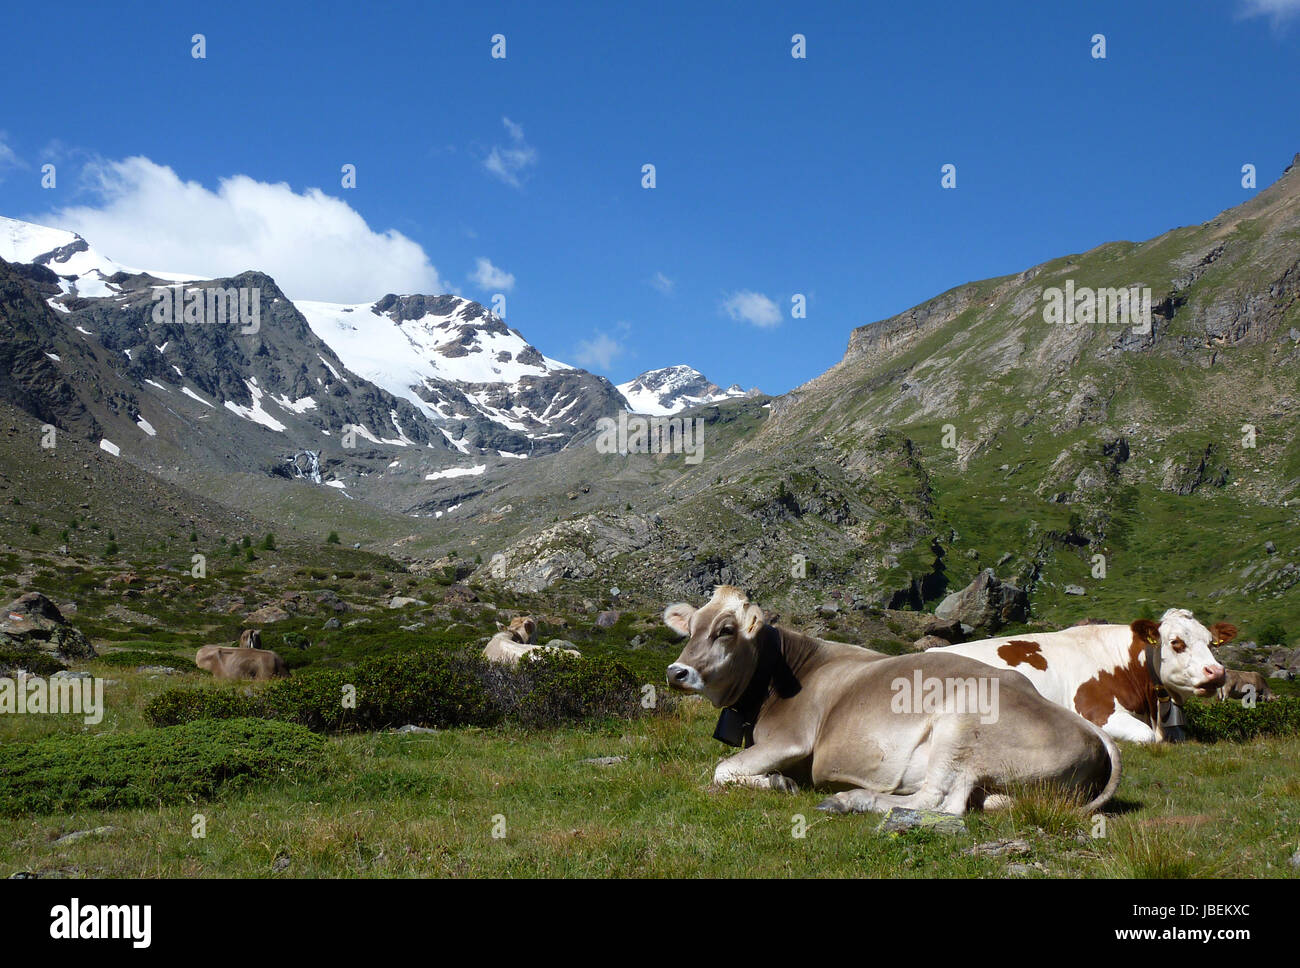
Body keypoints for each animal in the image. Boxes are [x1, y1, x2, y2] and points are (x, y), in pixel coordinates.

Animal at [664, 586, 1120, 816]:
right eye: (690, 628)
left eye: (725, 630)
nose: (675, 672)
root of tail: (1087, 729)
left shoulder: (792, 739)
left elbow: (721, 770)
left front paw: (779, 782)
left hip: (960, 725)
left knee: (940, 802)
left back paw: (849, 799)